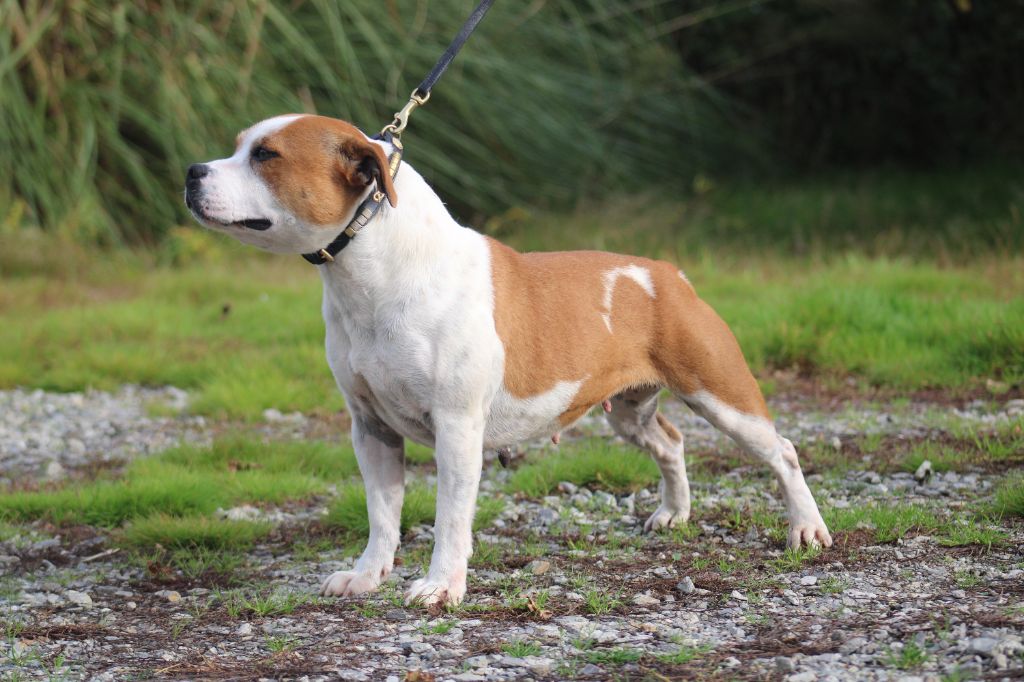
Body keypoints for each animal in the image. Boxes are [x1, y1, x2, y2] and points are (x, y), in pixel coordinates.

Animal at [184, 114, 831, 602]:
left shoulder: (456, 428)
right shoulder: (370, 428)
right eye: (239, 146)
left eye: (266, 155)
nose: (191, 170)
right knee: (669, 442)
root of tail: (668, 274)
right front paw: (367, 576)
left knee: (782, 451)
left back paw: (807, 528)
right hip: (628, 409)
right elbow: (382, 514)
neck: (376, 270)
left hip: (721, 393)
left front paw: (440, 588)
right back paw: (674, 514)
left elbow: (449, 518)